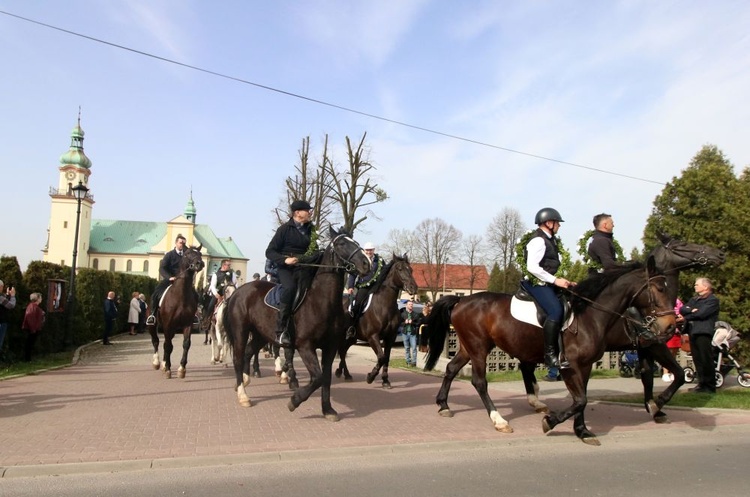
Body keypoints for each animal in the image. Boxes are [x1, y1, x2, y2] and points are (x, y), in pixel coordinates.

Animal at [148, 246, 206, 378]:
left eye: (200, 254)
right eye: (188, 253)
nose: (200, 264)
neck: (180, 296)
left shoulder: (187, 324)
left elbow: (186, 344)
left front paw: (181, 369)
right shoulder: (167, 325)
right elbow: (168, 345)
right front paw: (168, 369)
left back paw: (164, 364)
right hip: (153, 325)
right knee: (156, 341)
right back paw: (157, 363)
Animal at [226, 226, 374, 418]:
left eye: (355, 242)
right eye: (342, 244)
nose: (366, 264)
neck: (321, 302)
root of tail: (237, 292)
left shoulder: (330, 347)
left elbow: (325, 378)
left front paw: (328, 410)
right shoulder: (305, 346)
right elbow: (318, 377)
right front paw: (294, 400)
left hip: (260, 335)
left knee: (248, 352)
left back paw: (244, 381)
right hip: (241, 331)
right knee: (238, 358)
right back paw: (243, 395)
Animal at [336, 254, 420, 390]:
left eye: (411, 270)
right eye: (400, 269)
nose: (414, 288)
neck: (385, 306)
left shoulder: (390, 337)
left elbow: (386, 358)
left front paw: (385, 380)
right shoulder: (373, 337)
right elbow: (381, 357)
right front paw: (370, 377)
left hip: (352, 338)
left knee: (343, 351)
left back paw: (344, 373)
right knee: (341, 351)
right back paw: (343, 373)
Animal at [426, 258, 680, 444]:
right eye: (659, 288)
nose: (671, 326)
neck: (590, 314)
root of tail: (461, 301)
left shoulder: (586, 365)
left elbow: (582, 398)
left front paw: (582, 431)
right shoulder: (571, 366)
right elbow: (580, 399)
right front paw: (551, 422)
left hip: (469, 347)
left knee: (451, 368)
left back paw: (444, 405)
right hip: (478, 347)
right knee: (479, 381)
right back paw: (499, 420)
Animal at [520, 232, 724, 422]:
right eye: (682, 244)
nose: (720, 254)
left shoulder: (644, 347)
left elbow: (647, 377)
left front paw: (653, 407)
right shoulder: (654, 344)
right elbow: (679, 374)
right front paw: (658, 403)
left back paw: (536, 399)